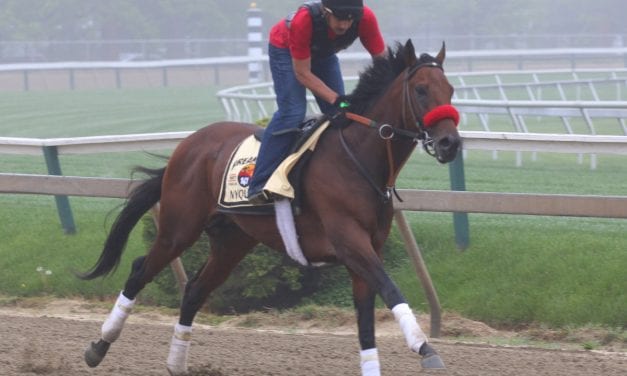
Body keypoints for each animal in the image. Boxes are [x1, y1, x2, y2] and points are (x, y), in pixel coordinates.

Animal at [78, 39, 462, 374]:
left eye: (451, 90)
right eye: (421, 89)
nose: (450, 143)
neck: (358, 158)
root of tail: (188, 144)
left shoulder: (367, 251)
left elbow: (366, 321)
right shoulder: (350, 242)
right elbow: (392, 289)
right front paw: (426, 348)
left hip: (232, 241)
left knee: (194, 290)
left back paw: (176, 363)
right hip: (179, 229)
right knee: (140, 270)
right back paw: (98, 346)